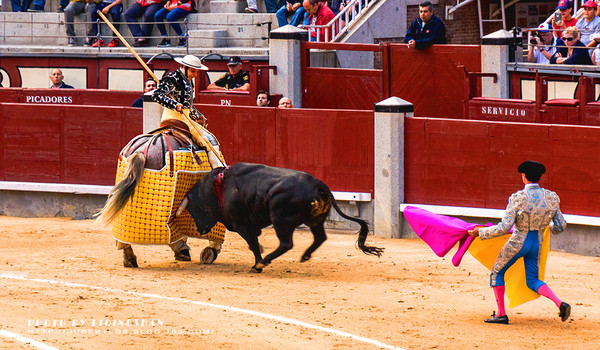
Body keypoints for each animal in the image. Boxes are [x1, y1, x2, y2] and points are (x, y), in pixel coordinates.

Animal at [179, 163, 384, 272]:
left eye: (196, 210)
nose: (200, 230)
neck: (219, 186)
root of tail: (319, 185)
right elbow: (254, 243)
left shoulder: (242, 225)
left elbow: (253, 244)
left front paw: (257, 262)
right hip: (315, 221)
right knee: (320, 237)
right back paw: (305, 256)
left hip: (280, 221)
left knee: (286, 244)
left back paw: (262, 263)